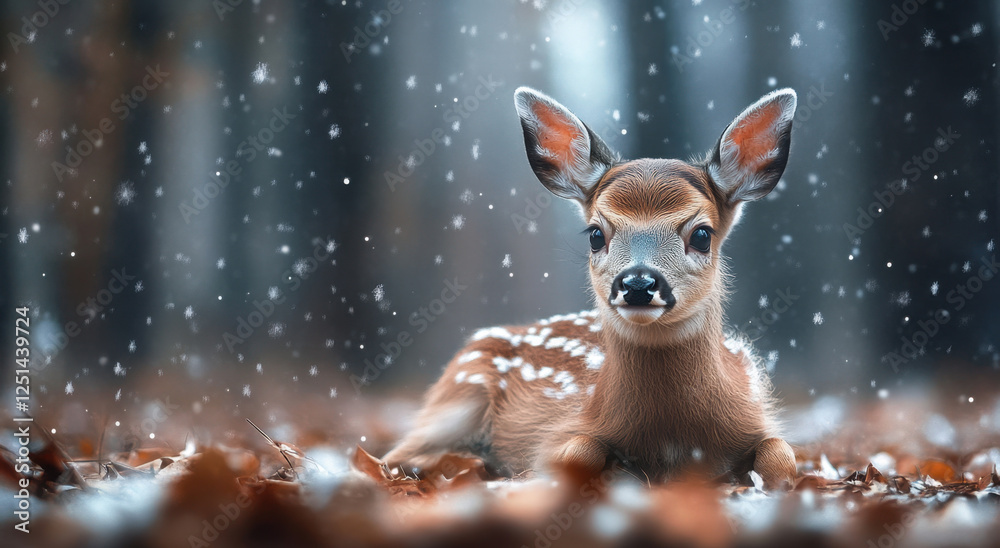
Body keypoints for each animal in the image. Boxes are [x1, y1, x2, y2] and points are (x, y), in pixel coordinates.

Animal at [383, 86, 799, 490]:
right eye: (596, 234)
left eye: (701, 234)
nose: (637, 283)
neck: (672, 440)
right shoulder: (562, 430)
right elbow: (578, 453)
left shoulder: (756, 413)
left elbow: (783, 457)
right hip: (458, 391)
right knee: (396, 456)